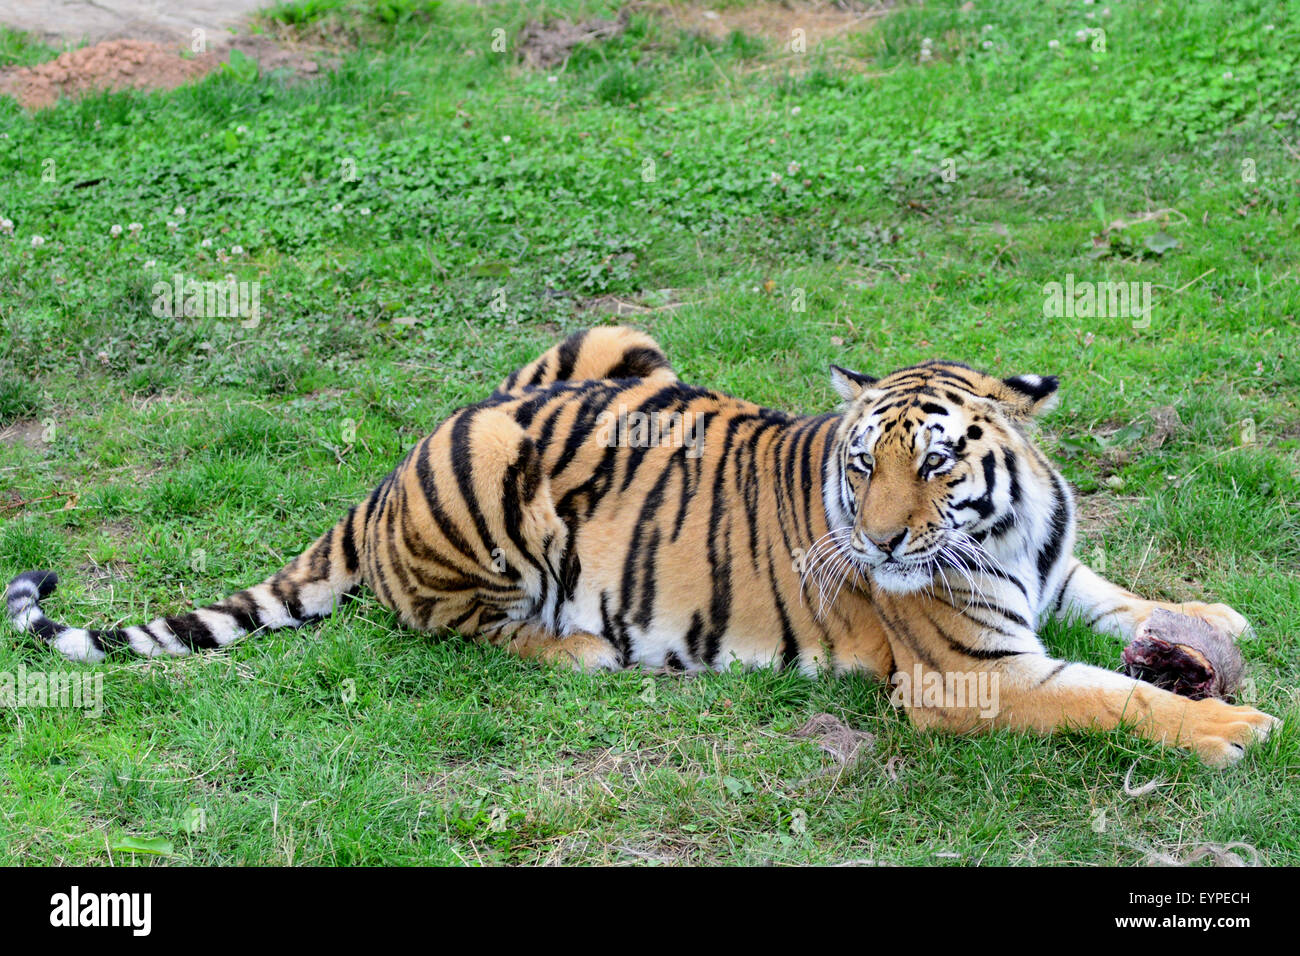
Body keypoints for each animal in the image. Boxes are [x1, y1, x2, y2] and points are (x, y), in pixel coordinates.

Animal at [5, 326, 1280, 766]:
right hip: (497, 495)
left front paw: (1213, 622)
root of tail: (386, 473)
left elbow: (1126, 603)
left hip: (618, 347)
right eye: (860, 467)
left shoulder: (1056, 573)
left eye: (932, 463)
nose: (874, 540)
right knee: (462, 629)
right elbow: (1111, 695)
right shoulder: (965, 673)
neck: (1005, 529)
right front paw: (1232, 726)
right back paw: (577, 648)